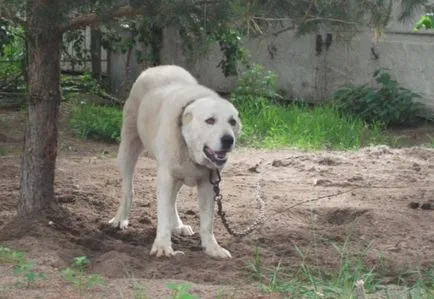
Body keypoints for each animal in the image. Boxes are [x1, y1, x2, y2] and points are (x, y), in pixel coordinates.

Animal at [109, 64, 241, 258]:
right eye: (210, 120)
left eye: (232, 122)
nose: (228, 140)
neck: (189, 147)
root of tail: (157, 67)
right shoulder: (165, 177)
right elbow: (162, 214)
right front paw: (163, 247)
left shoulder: (208, 184)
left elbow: (207, 223)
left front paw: (212, 248)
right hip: (128, 147)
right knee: (128, 189)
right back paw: (120, 219)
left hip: (177, 174)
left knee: (173, 199)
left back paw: (178, 226)